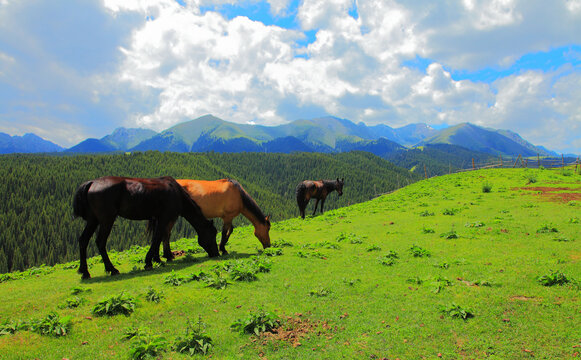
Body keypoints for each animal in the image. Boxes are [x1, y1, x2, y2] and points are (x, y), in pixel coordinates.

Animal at [72, 176, 218, 280]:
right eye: (213, 234)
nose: (216, 253)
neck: (177, 194)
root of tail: (92, 183)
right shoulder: (165, 217)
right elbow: (158, 237)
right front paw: (149, 262)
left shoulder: (158, 218)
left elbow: (159, 237)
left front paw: (158, 259)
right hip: (106, 220)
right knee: (100, 242)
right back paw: (112, 269)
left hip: (93, 220)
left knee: (83, 240)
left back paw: (85, 272)